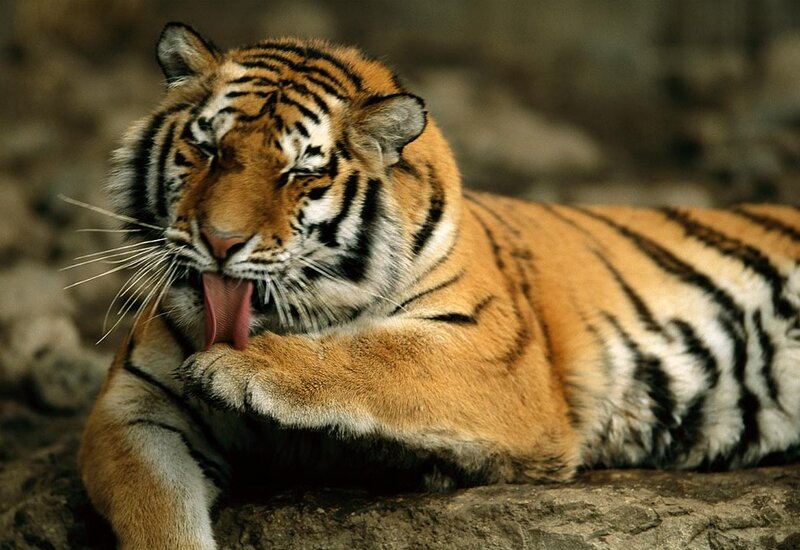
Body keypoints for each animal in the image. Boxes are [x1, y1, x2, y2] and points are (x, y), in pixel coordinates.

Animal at [76, 22, 800, 549]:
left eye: (299, 174)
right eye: (208, 150)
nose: (221, 242)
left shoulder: (496, 357)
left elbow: (378, 355)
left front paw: (239, 369)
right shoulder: (135, 411)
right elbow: (160, 517)